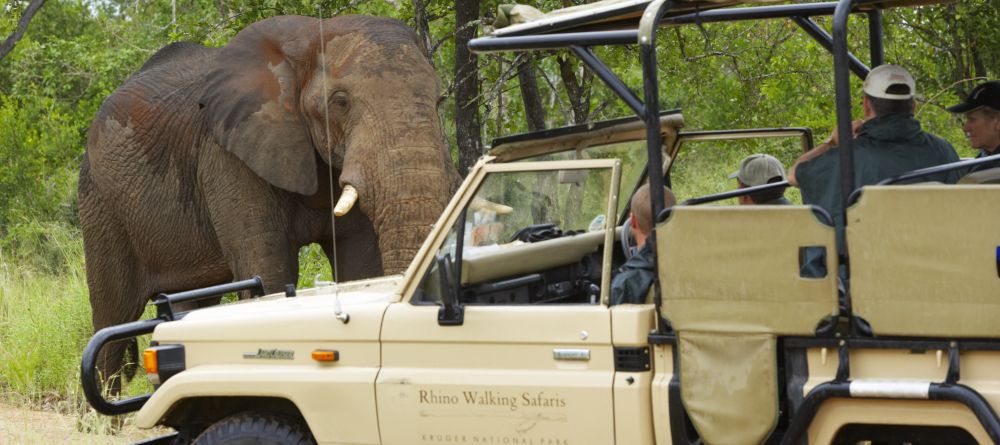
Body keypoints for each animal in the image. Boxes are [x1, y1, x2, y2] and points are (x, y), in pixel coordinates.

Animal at [80, 15, 458, 390]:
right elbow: (268, 270)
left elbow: (360, 264)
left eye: (441, 101)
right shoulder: (227, 154)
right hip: (99, 203)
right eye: (340, 101)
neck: (307, 42)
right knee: (113, 317)